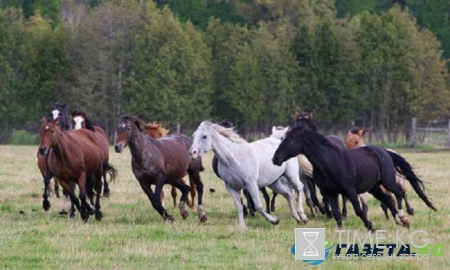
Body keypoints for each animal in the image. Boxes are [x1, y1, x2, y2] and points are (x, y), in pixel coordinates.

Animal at [272, 123, 438, 231]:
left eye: (290, 140)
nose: (275, 159)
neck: (330, 162)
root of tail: (385, 151)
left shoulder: (349, 190)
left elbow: (358, 210)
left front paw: (371, 227)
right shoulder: (329, 193)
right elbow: (337, 214)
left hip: (387, 181)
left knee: (397, 193)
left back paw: (403, 217)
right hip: (374, 188)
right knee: (387, 199)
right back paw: (399, 220)